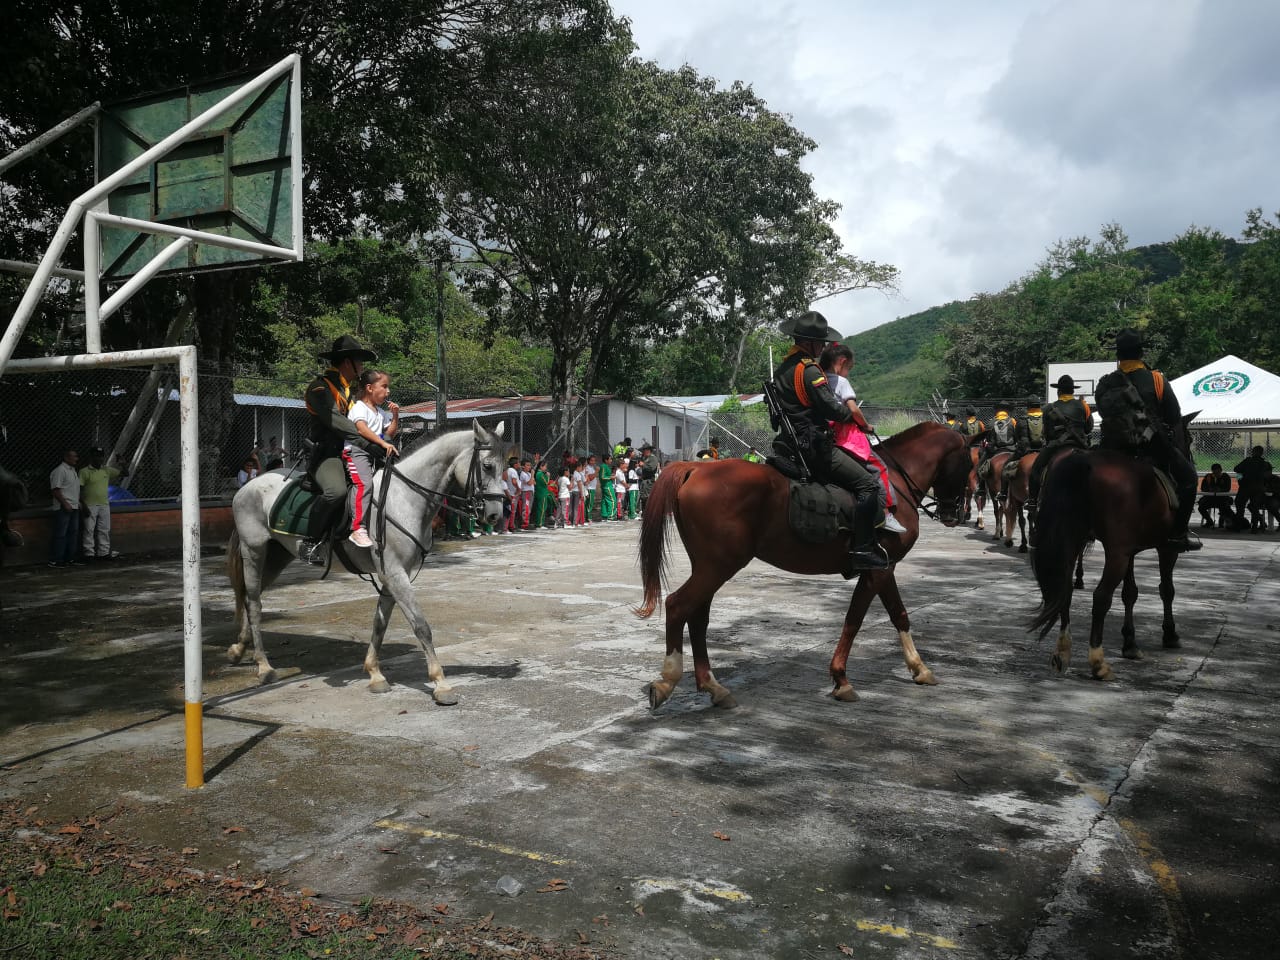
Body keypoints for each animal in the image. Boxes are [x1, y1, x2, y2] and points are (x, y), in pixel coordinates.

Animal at [227, 421, 507, 704]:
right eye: (487, 466)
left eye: (504, 464)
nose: (496, 514)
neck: (403, 498)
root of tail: (250, 486)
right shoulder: (395, 574)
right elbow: (421, 626)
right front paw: (441, 684)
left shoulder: (393, 575)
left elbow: (380, 623)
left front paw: (375, 674)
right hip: (254, 551)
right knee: (254, 603)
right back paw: (264, 667)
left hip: (277, 555)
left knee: (250, 599)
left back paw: (238, 649)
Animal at [635, 422, 976, 708]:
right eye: (970, 464)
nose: (956, 513)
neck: (893, 483)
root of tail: (696, 468)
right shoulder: (877, 569)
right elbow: (854, 620)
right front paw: (841, 678)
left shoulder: (883, 567)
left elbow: (899, 615)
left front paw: (919, 667)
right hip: (718, 566)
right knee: (678, 606)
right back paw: (668, 681)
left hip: (708, 567)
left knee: (697, 617)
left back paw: (712, 686)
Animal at [1028, 415, 1197, 680]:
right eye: (1188, 437)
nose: (1191, 459)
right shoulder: (1165, 549)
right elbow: (1166, 589)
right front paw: (1170, 634)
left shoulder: (1130, 551)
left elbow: (1130, 593)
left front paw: (1130, 643)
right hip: (1115, 554)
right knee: (1101, 597)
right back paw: (1098, 662)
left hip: (1074, 542)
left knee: (1065, 591)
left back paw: (1062, 653)